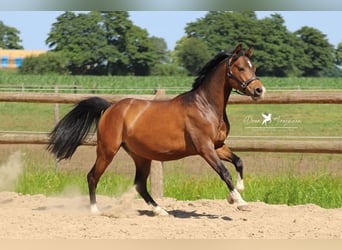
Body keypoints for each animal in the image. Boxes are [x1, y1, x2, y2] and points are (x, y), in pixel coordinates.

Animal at [48, 43, 266, 215]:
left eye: (254, 67)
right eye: (240, 68)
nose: (259, 90)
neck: (206, 106)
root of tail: (111, 107)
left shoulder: (218, 145)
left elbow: (238, 161)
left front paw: (237, 192)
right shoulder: (205, 148)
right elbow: (224, 172)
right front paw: (239, 201)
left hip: (140, 156)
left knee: (140, 184)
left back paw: (160, 210)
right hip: (107, 150)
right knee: (93, 176)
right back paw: (95, 210)